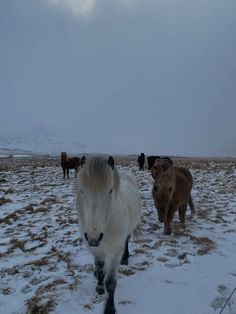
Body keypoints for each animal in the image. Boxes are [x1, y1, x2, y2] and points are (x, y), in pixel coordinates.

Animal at [76, 156, 141, 312]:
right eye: (82, 190)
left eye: (110, 191)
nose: (93, 237)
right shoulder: (95, 249)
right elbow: (100, 270)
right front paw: (99, 287)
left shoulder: (114, 252)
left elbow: (111, 282)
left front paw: (110, 309)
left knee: (127, 240)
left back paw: (125, 259)